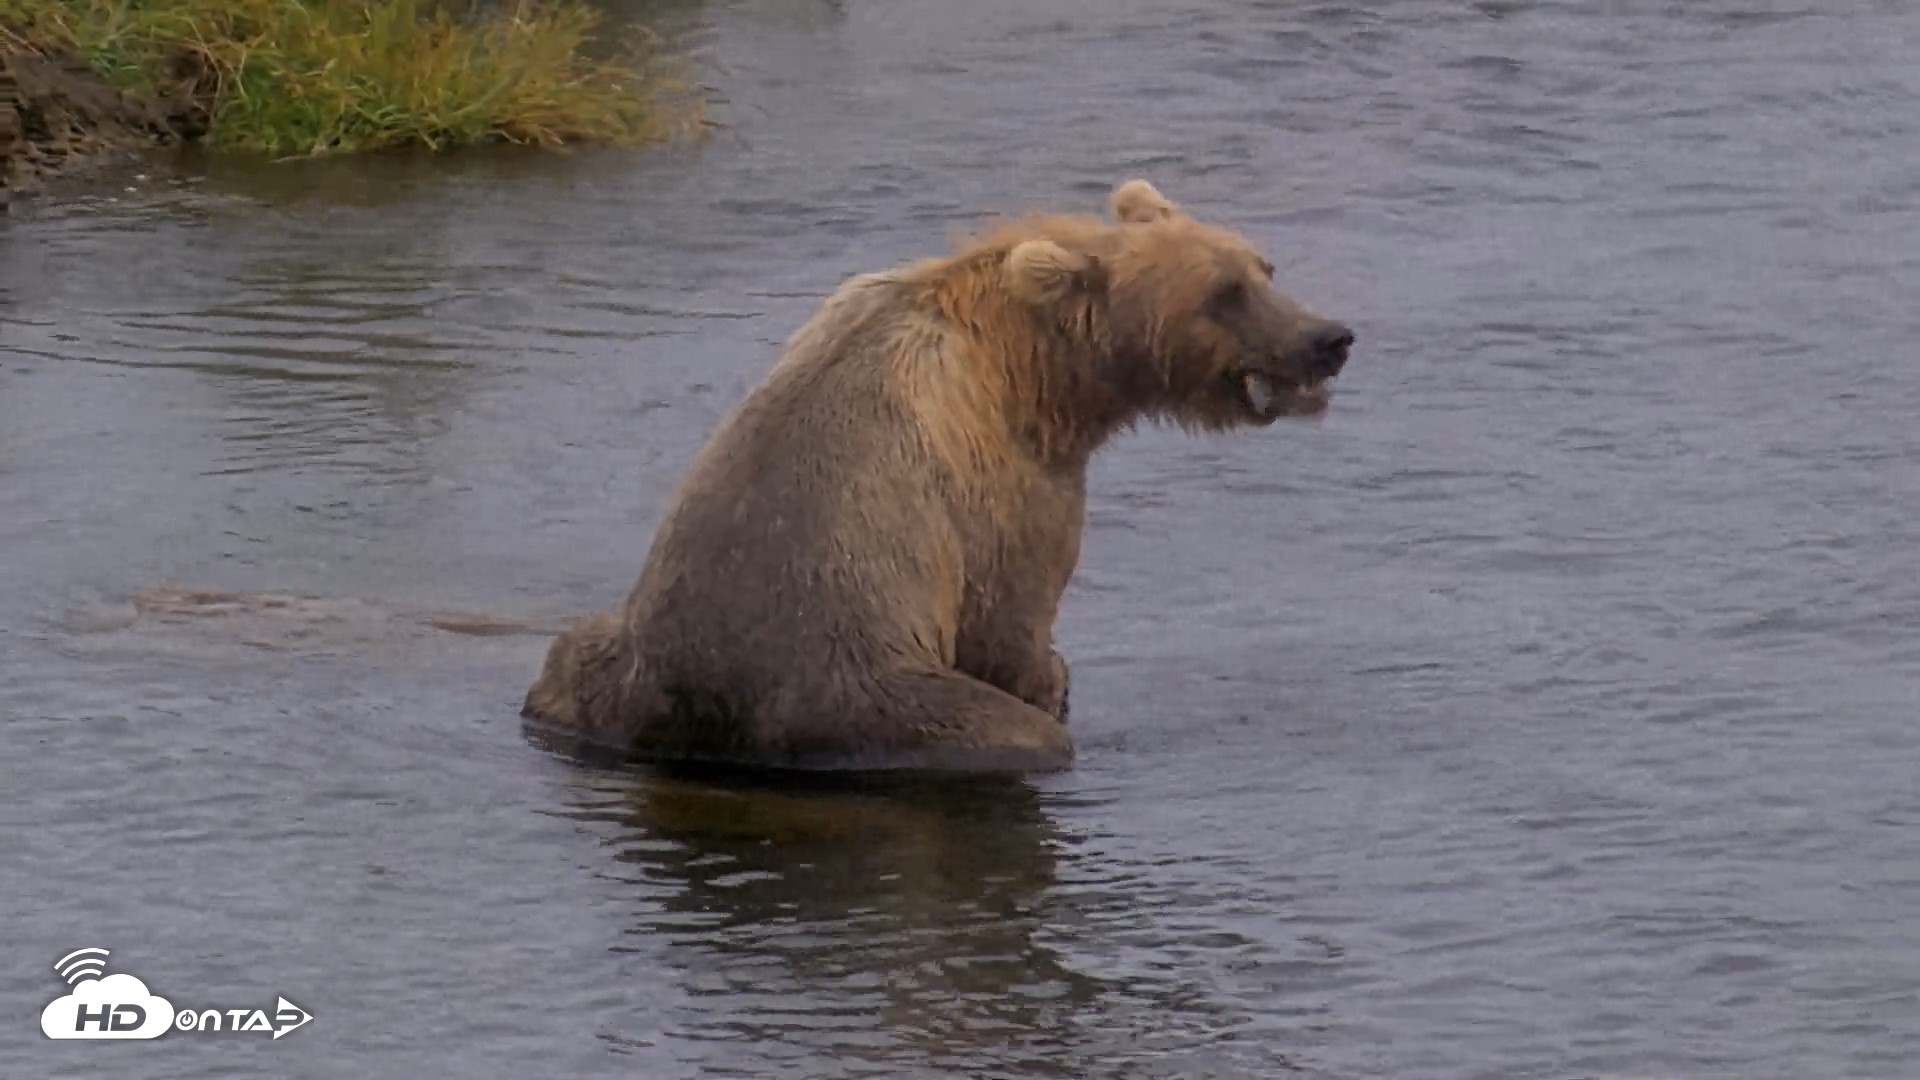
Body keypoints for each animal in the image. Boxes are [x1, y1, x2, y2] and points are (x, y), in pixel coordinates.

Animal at [523, 178, 1355, 775]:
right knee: (1004, 731)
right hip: (871, 688)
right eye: (1219, 295)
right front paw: (1051, 677)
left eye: (1263, 268)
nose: (1328, 338)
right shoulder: (1009, 483)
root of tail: (703, 712)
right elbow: (1013, 613)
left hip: (597, 663)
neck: (1044, 370)